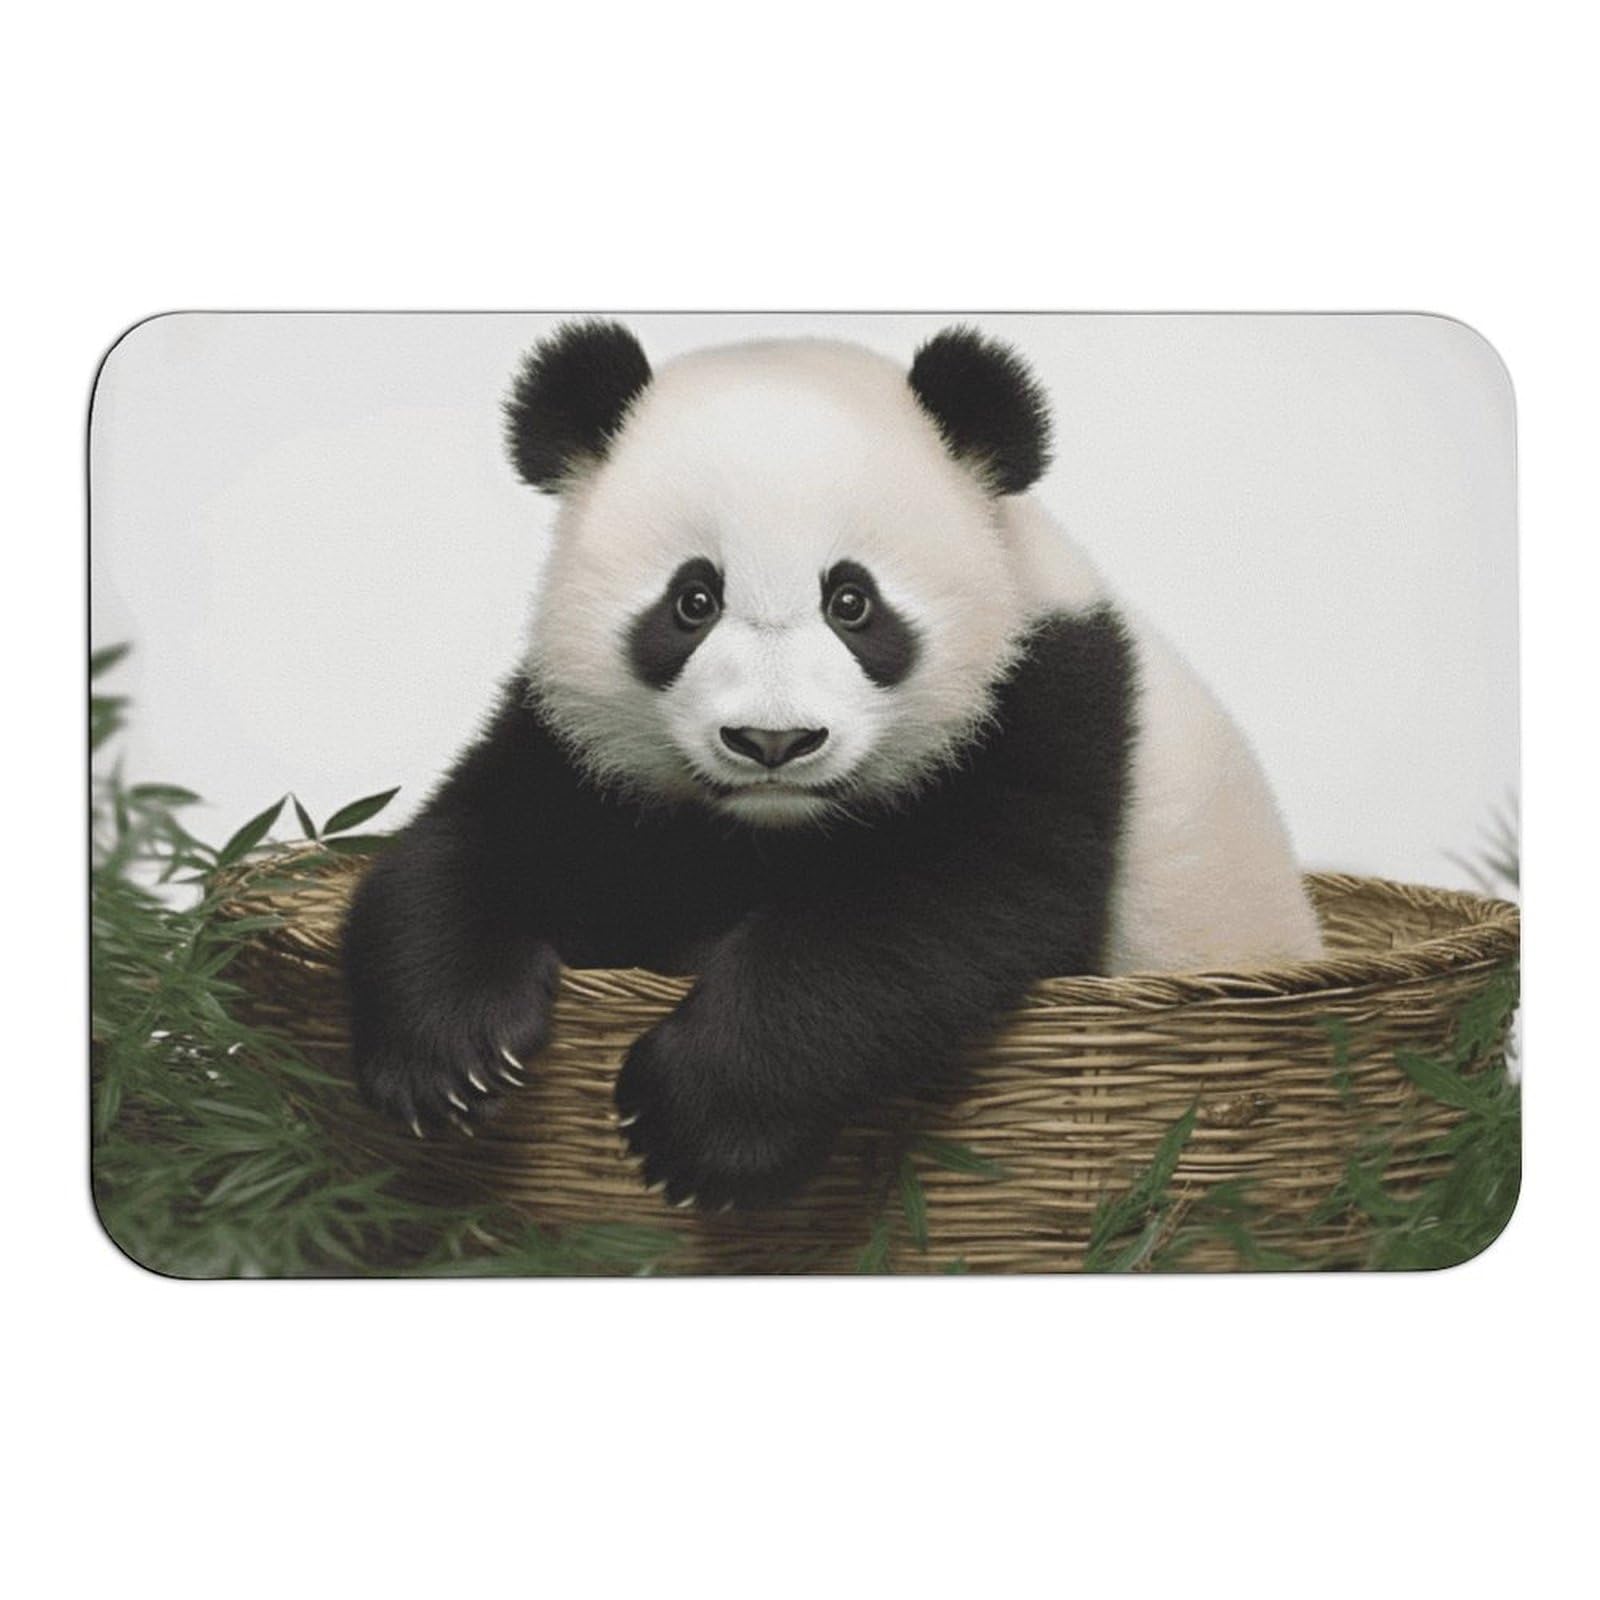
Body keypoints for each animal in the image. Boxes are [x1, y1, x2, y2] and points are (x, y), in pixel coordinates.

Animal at [341, 320, 1322, 1209]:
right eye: (693, 600)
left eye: (852, 602)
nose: (773, 742)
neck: (771, 828)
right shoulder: (574, 742)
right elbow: (479, 835)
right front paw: (449, 1053)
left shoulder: (1044, 703)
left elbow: (937, 912)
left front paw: (696, 1123)